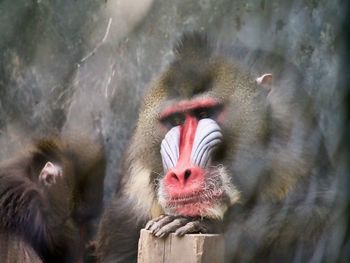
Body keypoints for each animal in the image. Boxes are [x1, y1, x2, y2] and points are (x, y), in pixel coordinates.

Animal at [97, 33, 334, 263]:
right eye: (176, 120)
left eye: (204, 113)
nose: (181, 174)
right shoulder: (136, 175)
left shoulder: (294, 128)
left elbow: (318, 209)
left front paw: (202, 223)